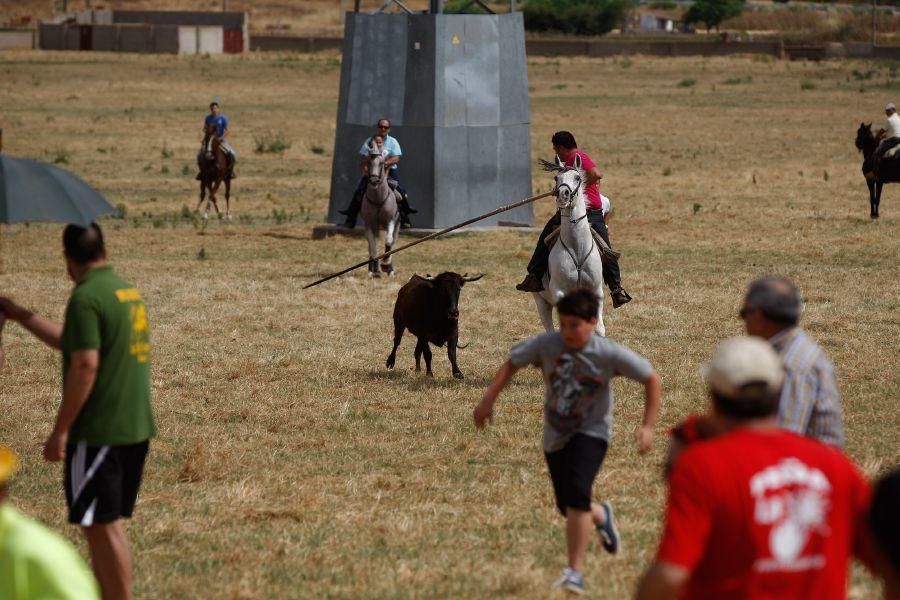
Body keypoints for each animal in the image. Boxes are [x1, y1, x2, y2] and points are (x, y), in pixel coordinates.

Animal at [358, 140, 400, 276]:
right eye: (368, 162)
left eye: (381, 163)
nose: (374, 181)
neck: (378, 199)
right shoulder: (368, 225)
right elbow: (373, 248)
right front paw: (373, 270)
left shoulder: (390, 221)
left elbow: (388, 240)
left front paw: (386, 265)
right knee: (371, 247)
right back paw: (373, 269)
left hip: (397, 225)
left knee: (392, 242)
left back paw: (389, 268)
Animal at [536, 152, 604, 336]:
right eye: (556, 177)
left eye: (577, 177)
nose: (563, 194)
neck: (577, 248)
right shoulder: (559, 292)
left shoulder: (596, 291)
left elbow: (599, 328)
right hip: (541, 302)